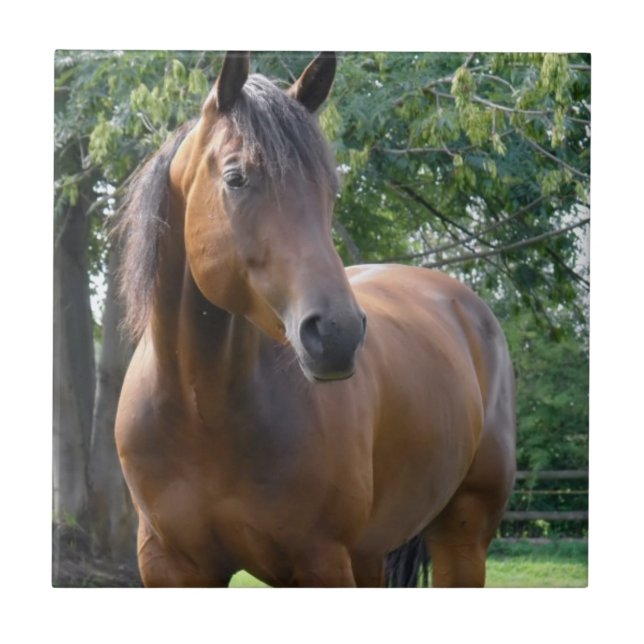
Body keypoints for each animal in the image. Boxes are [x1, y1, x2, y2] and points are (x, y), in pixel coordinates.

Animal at [114, 51, 516, 587]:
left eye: (329, 188)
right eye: (236, 178)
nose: (337, 334)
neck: (200, 412)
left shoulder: (320, 561)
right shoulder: (169, 566)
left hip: (461, 535)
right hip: (372, 553)